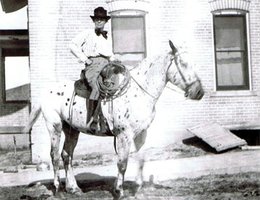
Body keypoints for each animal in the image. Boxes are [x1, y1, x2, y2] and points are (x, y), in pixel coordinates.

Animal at [23, 40, 204, 198]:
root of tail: (46, 90)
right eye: (183, 63)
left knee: (67, 155)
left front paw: (137, 188)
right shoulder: (124, 135)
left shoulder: (141, 134)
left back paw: (73, 188)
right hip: (55, 126)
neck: (138, 92)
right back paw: (57, 190)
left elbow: (140, 160)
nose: (199, 92)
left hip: (72, 129)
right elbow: (122, 163)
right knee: (54, 155)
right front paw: (119, 191)